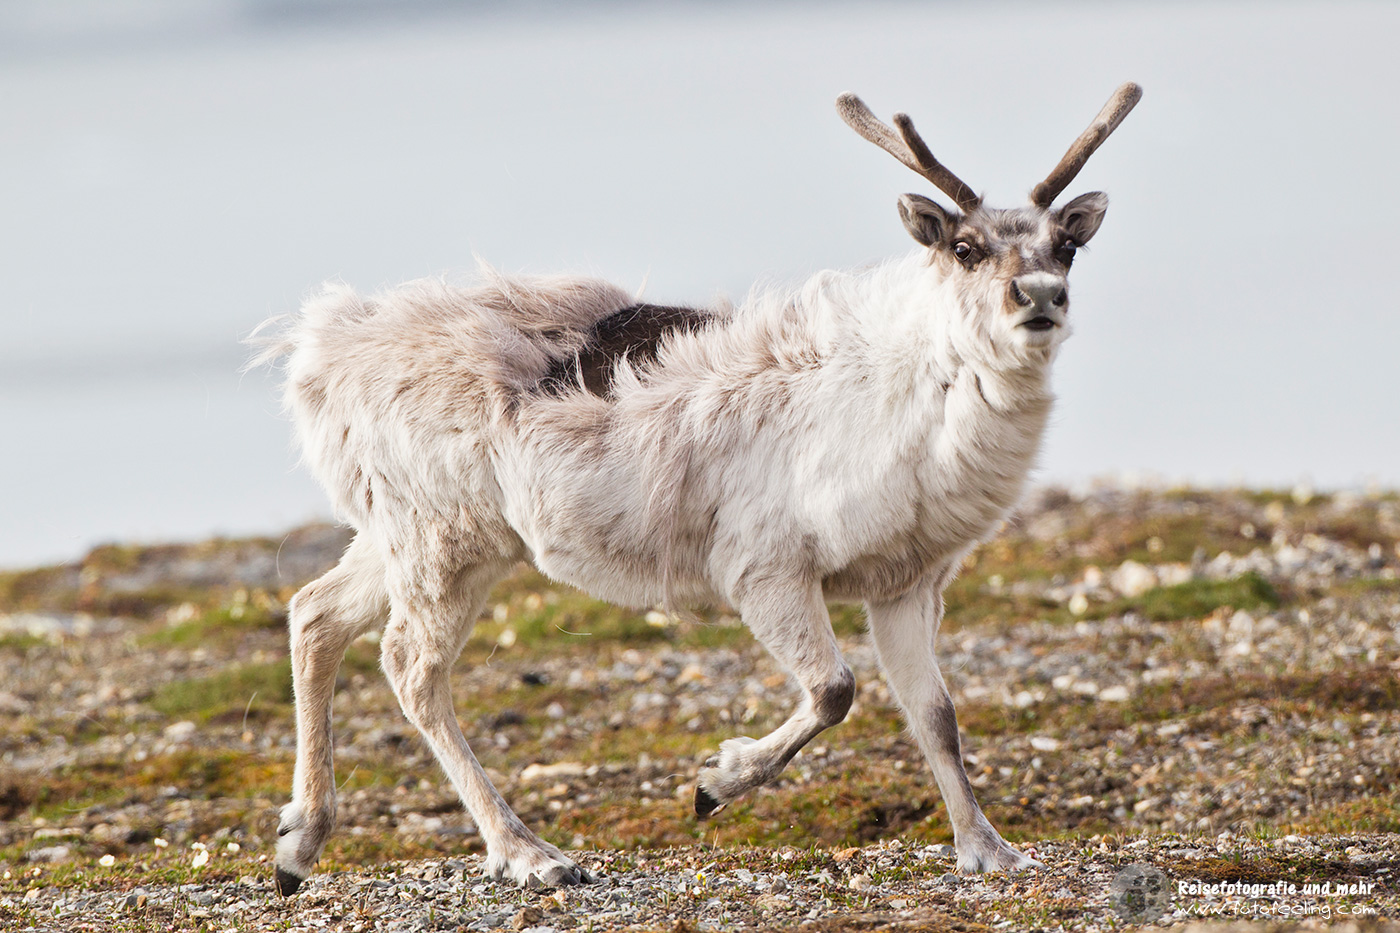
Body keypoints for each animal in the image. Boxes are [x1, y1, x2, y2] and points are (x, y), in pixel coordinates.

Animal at [252, 82, 1141, 895]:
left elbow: (938, 716)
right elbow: (835, 690)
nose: (1041, 298)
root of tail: (318, 355)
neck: (908, 394)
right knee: (409, 665)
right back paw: (529, 852)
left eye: (1066, 247)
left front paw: (989, 848)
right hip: (445, 539)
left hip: (404, 532)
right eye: (965, 246)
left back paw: (298, 846)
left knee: (314, 613)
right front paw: (714, 783)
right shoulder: (763, 567)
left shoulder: (908, 581)